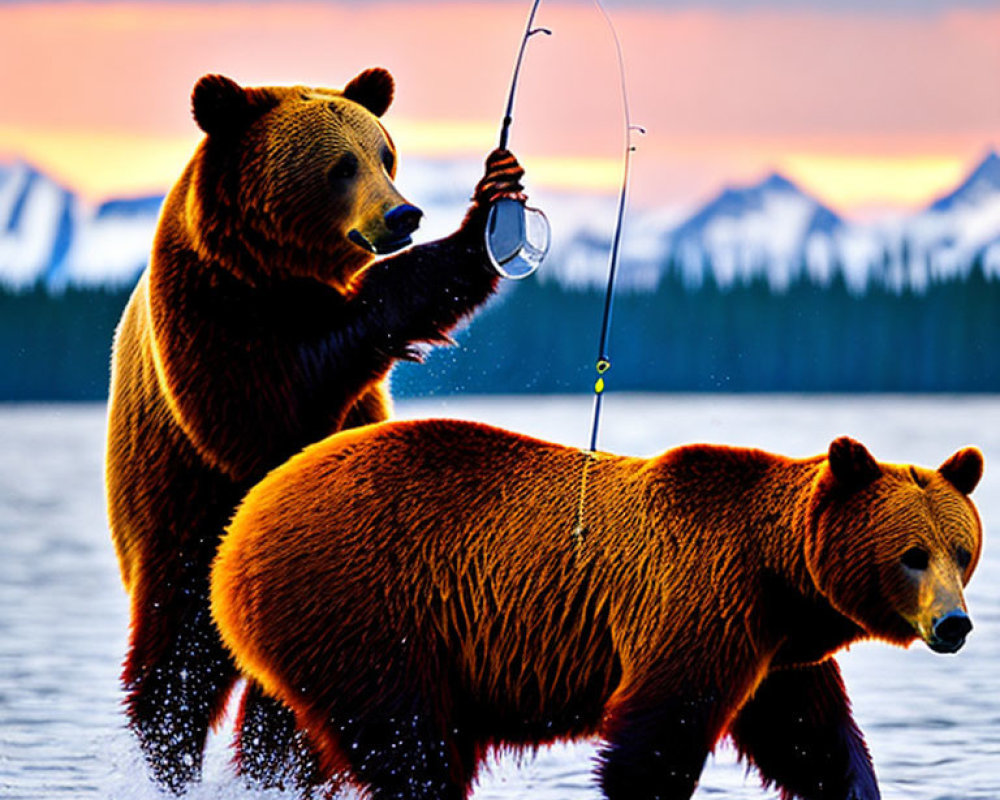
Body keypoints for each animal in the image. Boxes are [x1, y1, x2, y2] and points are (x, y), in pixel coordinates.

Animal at [103, 70, 532, 792]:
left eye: (385, 154)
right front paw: (476, 231)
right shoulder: (216, 333)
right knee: (178, 662)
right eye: (341, 166)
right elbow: (293, 383)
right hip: (175, 517)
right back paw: (175, 762)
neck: (274, 271)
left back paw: (276, 763)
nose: (403, 215)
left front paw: (499, 189)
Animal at [211, 418, 984, 800]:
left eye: (962, 549)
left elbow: (813, 743)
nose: (954, 624)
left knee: (287, 740)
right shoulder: (702, 604)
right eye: (912, 554)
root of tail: (240, 525)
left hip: (312, 635)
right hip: (367, 607)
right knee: (408, 746)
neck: (781, 576)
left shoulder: (779, 653)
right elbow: (658, 739)